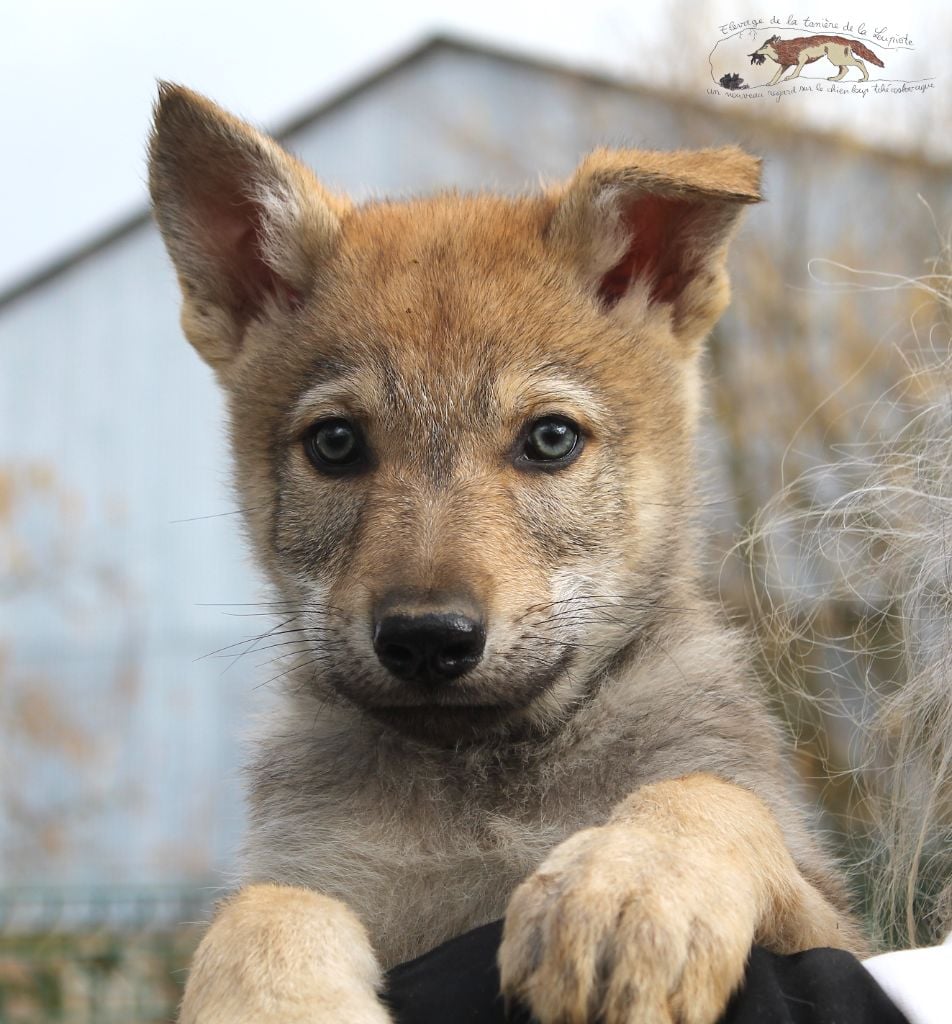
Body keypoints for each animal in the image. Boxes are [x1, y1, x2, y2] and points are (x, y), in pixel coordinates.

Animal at [146, 86, 859, 1024]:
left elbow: (709, 794)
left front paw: (632, 883)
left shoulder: (830, 917)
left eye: (550, 439)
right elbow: (264, 907)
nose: (426, 639)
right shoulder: (314, 866)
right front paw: (281, 1001)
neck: (481, 781)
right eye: (335, 443)